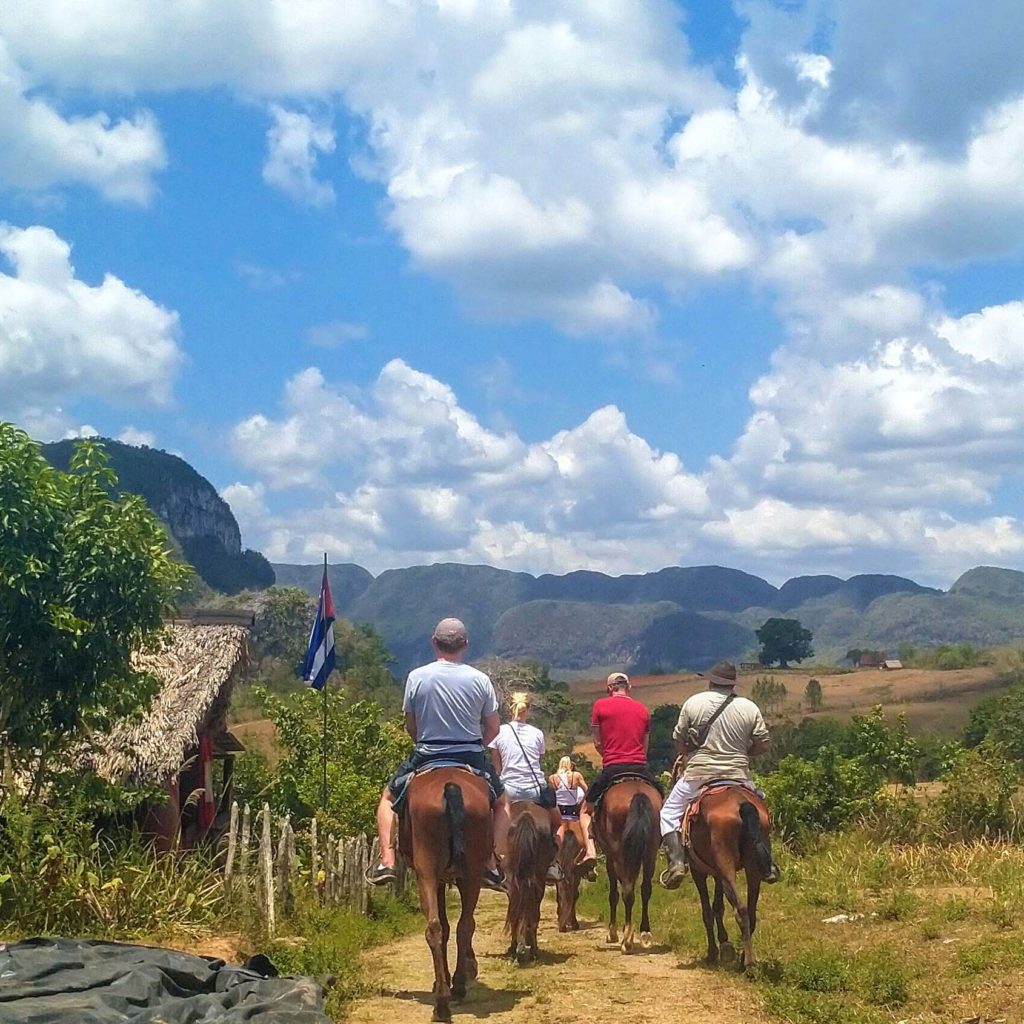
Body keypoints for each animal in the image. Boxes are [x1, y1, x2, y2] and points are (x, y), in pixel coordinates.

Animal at [399, 765, 491, 1019]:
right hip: (471, 874)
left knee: (441, 927)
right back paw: (450, 993)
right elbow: (454, 927)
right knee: (461, 926)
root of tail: (450, 785)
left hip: (429, 874)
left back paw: (446, 997)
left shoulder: (439, 880)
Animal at [598, 778, 659, 954]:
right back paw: (645, 933)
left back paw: (626, 941)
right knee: (645, 889)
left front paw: (613, 933)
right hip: (650, 853)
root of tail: (638, 795)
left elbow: (613, 894)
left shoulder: (610, 858)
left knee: (627, 891)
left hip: (619, 855)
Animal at [684, 782, 770, 966]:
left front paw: (713, 952)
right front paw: (724, 943)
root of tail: (743, 803)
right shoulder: (717, 873)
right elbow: (718, 906)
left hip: (727, 867)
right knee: (750, 912)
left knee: (741, 910)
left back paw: (748, 963)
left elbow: (707, 912)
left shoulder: (698, 871)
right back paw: (744, 958)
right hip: (752, 868)